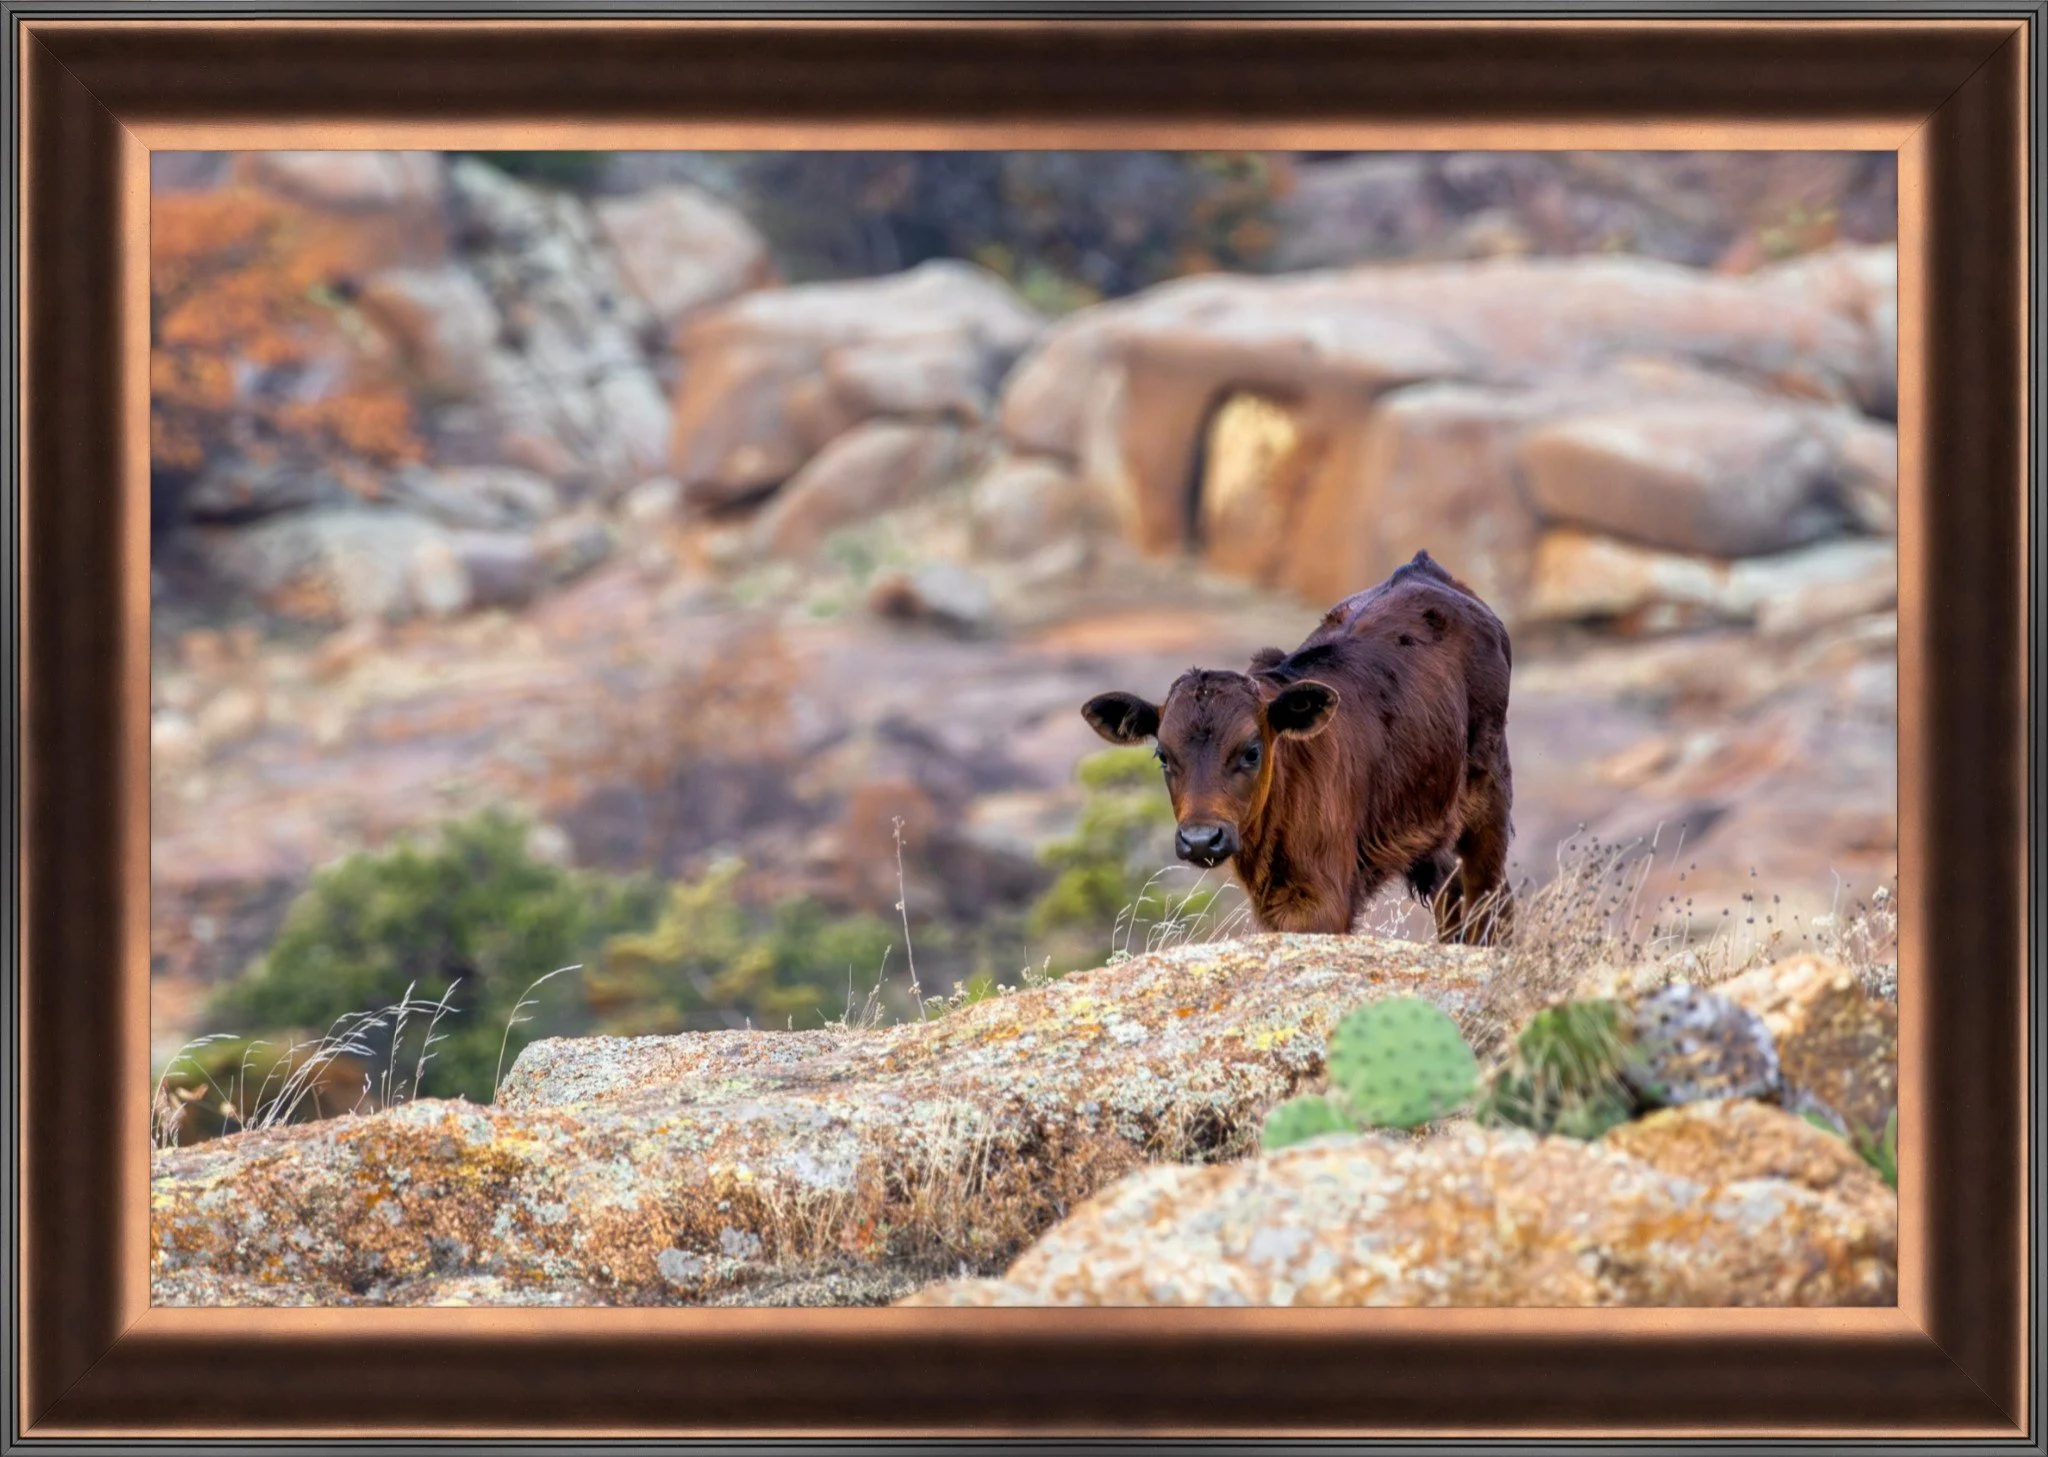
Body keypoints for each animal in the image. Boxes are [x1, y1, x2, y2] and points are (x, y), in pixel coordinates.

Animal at [1080, 550, 1514, 944]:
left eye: (1252, 751)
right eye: (1163, 757)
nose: (1201, 838)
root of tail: (1422, 568)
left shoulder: (1324, 902)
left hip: (1488, 801)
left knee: (1489, 900)